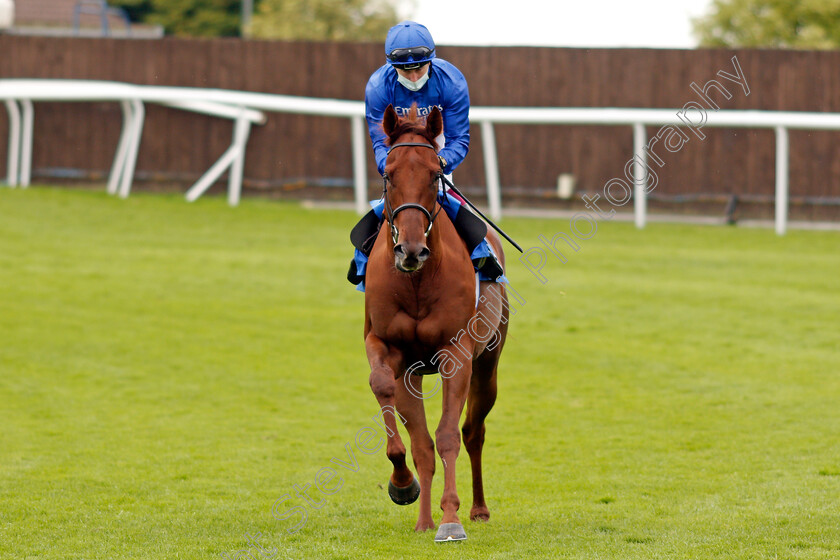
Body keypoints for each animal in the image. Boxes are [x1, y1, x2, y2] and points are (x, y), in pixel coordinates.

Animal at [364, 105, 508, 544]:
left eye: (433, 174)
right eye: (389, 174)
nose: (411, 250)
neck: (416, 282)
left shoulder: (455, 354)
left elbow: (448, 436)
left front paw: (451, 520)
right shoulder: (389, 349)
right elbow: (392, 403)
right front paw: (403, 486)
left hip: (488, 361)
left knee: (473, 431)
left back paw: (476, 509)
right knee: (425, 444)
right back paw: (424, 516)